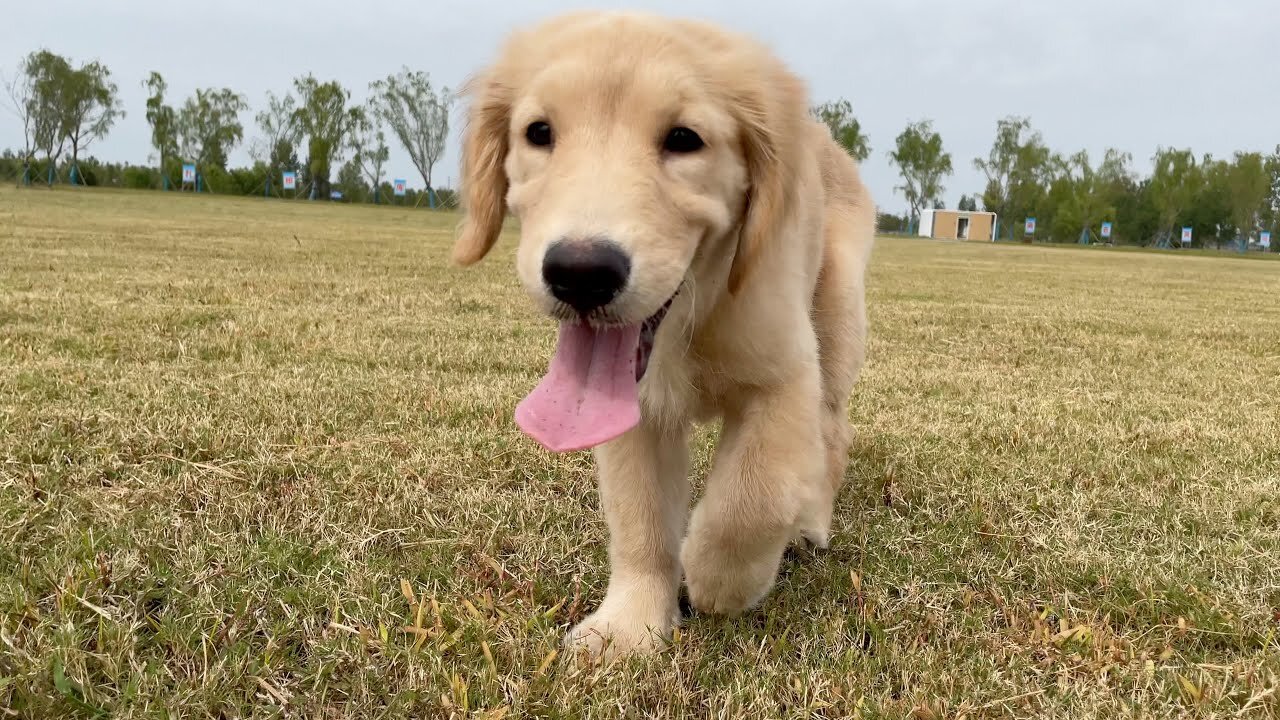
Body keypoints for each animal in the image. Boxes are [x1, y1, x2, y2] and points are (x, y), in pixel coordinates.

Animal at [453, 9, 880, 655]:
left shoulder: (785, 373)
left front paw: (719, 578)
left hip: (835, 318)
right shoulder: (635, 416)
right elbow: (641, 520)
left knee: (831, 433)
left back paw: (809, 526)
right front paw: (629, 628)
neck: (687, 326)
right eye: (539, 132)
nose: (580, 273)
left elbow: (755, 494)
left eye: (684, 139)